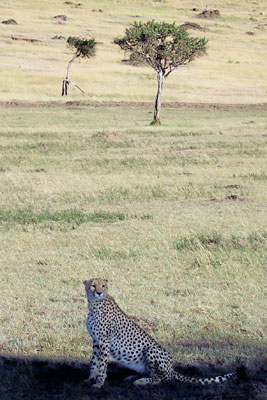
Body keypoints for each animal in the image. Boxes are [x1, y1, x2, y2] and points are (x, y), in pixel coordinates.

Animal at [84, 278, 239, 388]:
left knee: (163, 379)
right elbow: (94, 362)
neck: (94, 305)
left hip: (152, 350)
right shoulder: (96, 341)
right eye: (93, 285)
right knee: (153, 374)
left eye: (103, 286)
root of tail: (172, 368)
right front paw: (90, 379)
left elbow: (102, 364)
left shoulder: (104, 341)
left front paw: (99, 383)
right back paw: (133, 377)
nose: (99, 292)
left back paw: (141, 381)